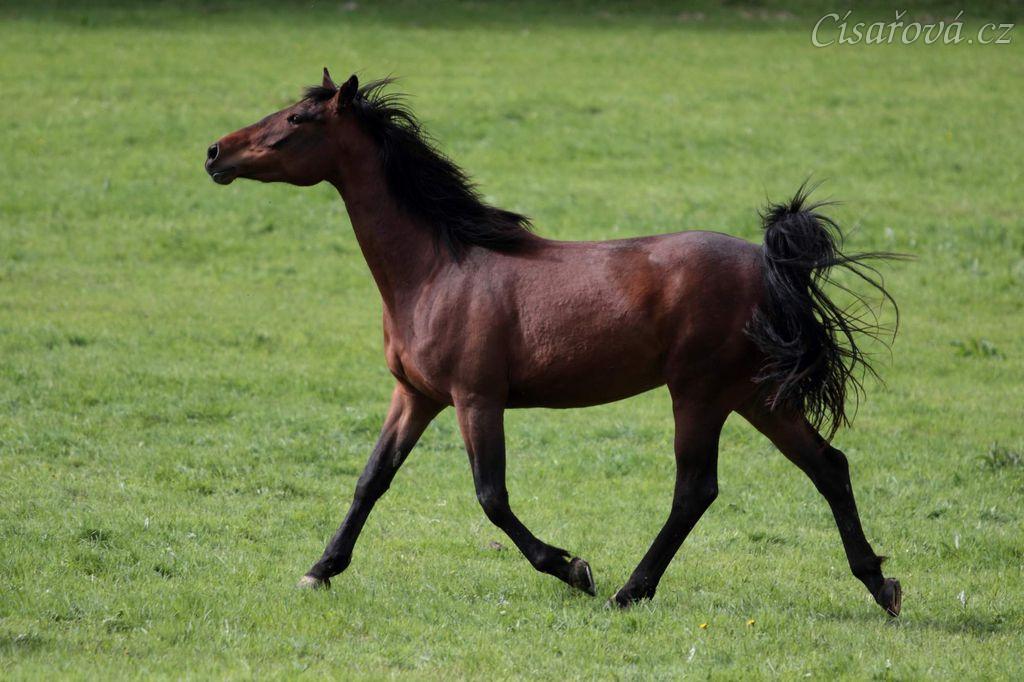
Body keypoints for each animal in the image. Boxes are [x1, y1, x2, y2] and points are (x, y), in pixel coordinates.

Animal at [205, 68, 902, 616]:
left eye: (296, 118)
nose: (214, 152)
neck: (436, 268)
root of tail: (766, 263)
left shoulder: (475, 399)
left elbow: (491, 496)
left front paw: (572, 568)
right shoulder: (415, 396)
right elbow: (371, 480)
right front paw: (319, 570)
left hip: (699, 394)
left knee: (696, 489)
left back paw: (628, 591)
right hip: (754, 396)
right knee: (827, 466)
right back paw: (882, 586)